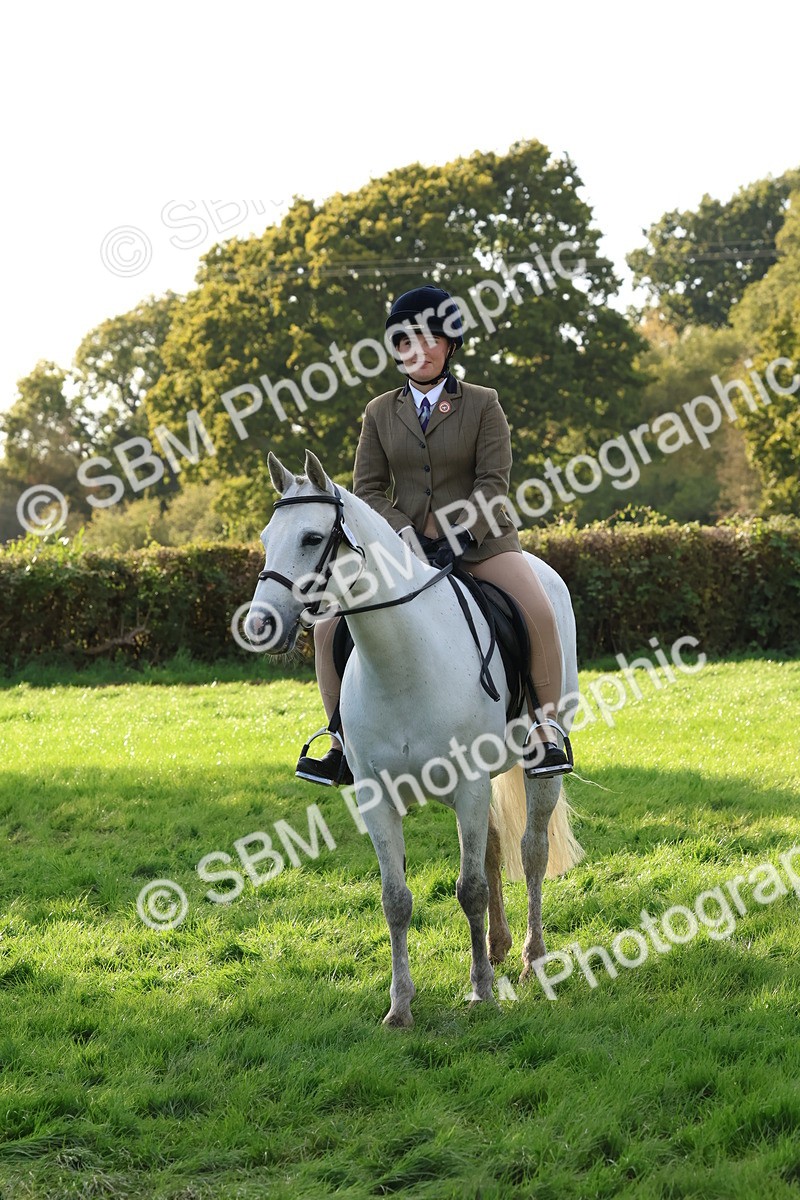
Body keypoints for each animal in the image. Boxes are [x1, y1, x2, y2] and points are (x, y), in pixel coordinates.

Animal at [246, 449, 584, 1027]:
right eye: (268, 537)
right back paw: (496, 947)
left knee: (531, 852)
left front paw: (480, 991)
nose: (260, 624)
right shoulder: (377, 799)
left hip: (537, 769)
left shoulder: (469, 786)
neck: (403, 660)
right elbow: (396, 899)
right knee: (495, 849)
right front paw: (400, 1005)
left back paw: (530, 960)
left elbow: (469, 889)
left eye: (312, 537)